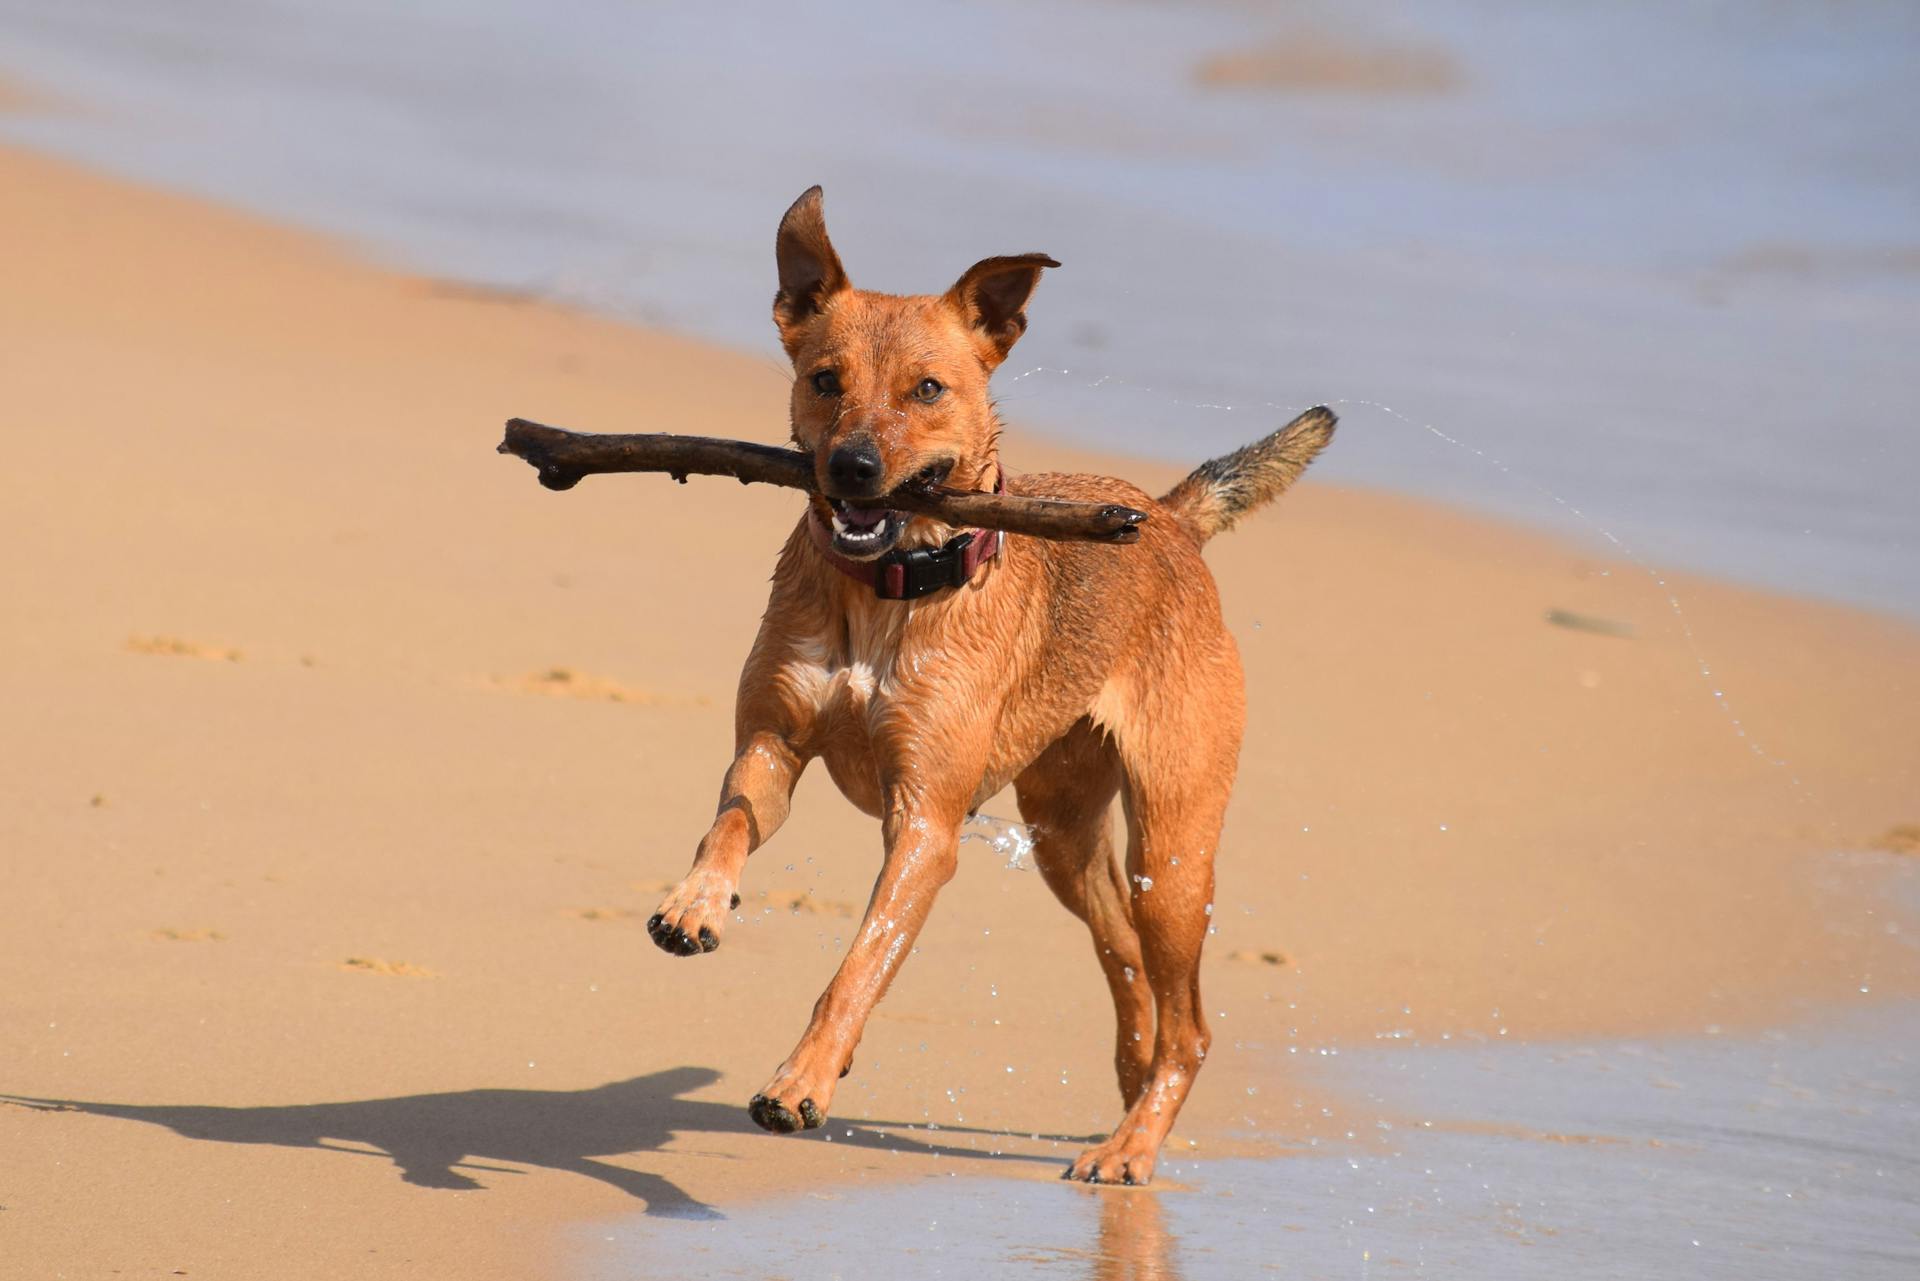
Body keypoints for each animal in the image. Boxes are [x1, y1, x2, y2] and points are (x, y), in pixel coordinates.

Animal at [645, 185, 1336, 1190]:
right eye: (825, 379)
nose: (853, 467)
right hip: (1063, 833)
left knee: (1192, 1023)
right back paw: (1130, 1080)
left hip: (1172, 849)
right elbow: (729, 824)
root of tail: (1168, 520)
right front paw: (696, 902)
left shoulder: (925, 825)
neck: (889, 586)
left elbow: (859, 966)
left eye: (929, 389)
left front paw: (804, 1078)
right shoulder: (770, 743)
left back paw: (1132, 1145)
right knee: (1127, 960)